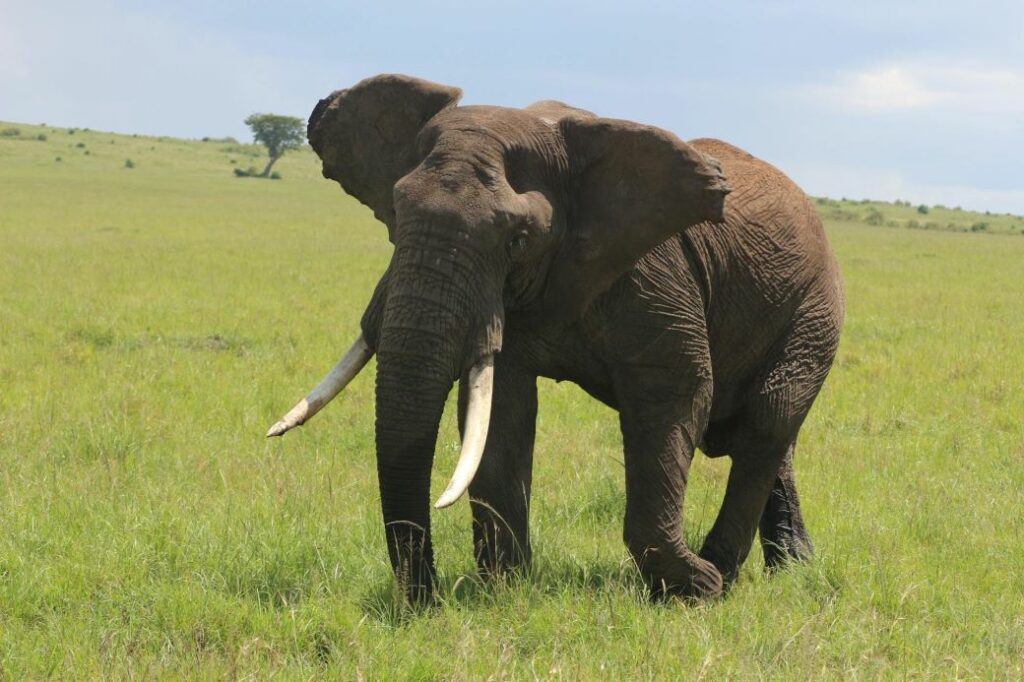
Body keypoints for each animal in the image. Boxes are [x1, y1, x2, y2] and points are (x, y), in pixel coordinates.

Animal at [267, 74, 844, 604]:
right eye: (395, 218)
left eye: (517, 240)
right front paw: (504, 589)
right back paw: (789, 567)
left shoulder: (654, 272)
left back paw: (724, 573)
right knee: (768, 435)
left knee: (766, 422)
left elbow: (672, 394)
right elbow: (502, 413)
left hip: (813, 312)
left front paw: (690, 588)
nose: (428, 597)